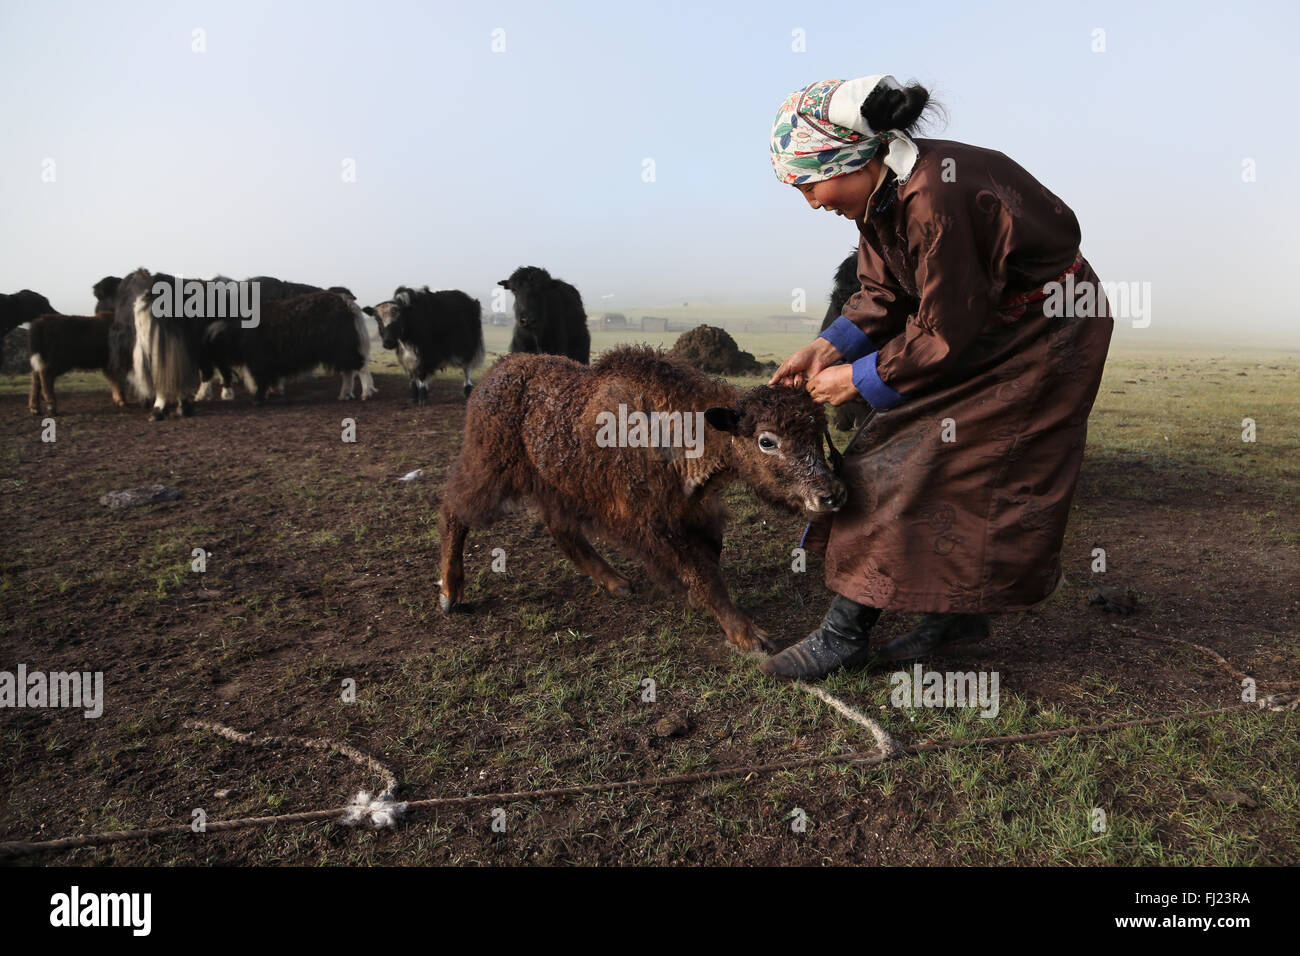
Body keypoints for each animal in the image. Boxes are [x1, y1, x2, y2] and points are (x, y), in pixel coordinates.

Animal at [436, 348, 847, 655]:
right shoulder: (656, 524)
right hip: (489, 468)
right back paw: (450, 592)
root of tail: (498, 372)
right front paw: (748, 635)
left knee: (562, 529)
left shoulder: (696, 512)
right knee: (455, 508)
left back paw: (615, 582)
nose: (830, 494)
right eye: (766, 440)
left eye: (818, 431)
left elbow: (710, 556)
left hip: (555, 483)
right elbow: (703, 571)